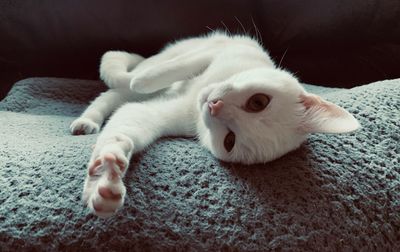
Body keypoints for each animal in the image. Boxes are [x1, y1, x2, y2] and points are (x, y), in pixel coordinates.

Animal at [70, 31, 360, 217]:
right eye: (259, 101)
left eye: (229, 140)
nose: (214, 106)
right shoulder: (231, 47)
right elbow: (152, 75)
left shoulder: (161, 114)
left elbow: (125, 127)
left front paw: (102, 186)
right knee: (127, 76)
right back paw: (90, 116)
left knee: (115, 96)